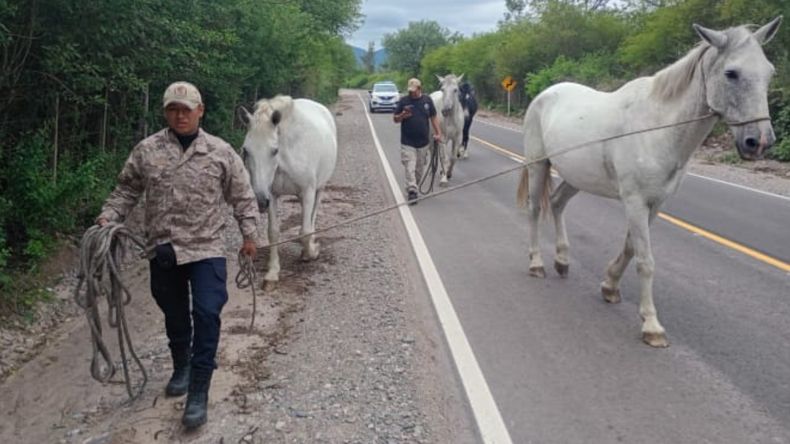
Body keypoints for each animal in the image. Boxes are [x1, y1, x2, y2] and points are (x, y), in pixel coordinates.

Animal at [240, 95, 337, 284]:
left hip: (319, 189)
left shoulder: (307, 191)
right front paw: (273, 272)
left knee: (312, 217)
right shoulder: (271, 195)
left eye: (274, 150)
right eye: (246, 150)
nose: (260, 200)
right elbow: (273, 233)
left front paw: (311, 253)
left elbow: (306, 232)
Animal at [516, 17, 782, 348]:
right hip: (538, 166)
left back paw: (562, 260)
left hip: (576, 175)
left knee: (556, 203)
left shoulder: (654, 204)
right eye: (731, 73)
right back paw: (537, 264)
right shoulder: (635, 202)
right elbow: (646, 260)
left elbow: (631, 248)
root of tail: (545, 94)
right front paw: (652, 326)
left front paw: (610, 286)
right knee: (535, 210)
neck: (658, 127)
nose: (759, 142)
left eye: (769, 72)